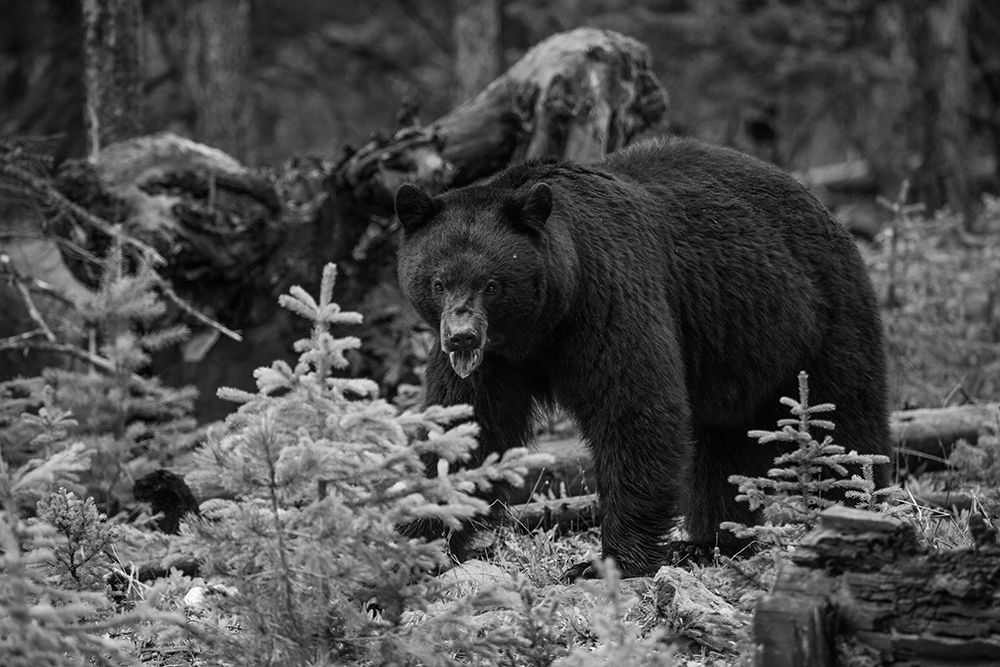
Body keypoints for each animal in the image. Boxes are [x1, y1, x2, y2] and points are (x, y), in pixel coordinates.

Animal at [394, 136, 890, 579]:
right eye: (438, 282)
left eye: (492, 284)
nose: (461, 338)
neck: (543, 321)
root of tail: (826, 209)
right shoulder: (497, 360)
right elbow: (467, 426)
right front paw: (418, 541)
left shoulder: (609, 294)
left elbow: (634, 408)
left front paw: (606, 562)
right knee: (724, 444)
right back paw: (708, 542)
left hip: (818, 322)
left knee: (844, 423)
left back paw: (858, 510)